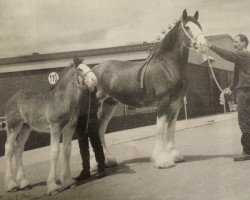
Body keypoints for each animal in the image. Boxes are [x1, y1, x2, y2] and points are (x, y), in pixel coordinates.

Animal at [4, 58, 97, 195]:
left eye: (88, 67)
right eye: (80, 70)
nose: (94, 80)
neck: (63, 100)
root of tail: (12, 98)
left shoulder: (69, 129)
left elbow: (67, 151)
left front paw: (68, 181)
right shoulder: (55, 128)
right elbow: (54, 152)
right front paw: (53, 186)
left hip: (26, 127)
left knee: (19, 149)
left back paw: (24, 183)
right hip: (14, 126)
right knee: (9, 149)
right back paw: (11, 185)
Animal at [93, 9, 206, 169]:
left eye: (199, 26)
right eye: (188, 27)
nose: (203, 44)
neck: (167, 66)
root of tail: (92, 71)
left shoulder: (176, 104)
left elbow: (171, 128)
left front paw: (174, 155)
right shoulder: (163, 102)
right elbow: (160, 129)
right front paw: (163, 160)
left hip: (109, 105)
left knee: (101, 130)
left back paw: (108, 160)